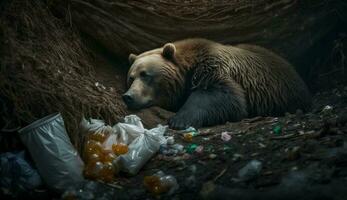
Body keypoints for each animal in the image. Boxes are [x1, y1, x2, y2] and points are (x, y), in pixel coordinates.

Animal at [124, 38, 312, 130]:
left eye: (145, 75)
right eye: (131, 78)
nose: (128, 96)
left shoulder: (213, 67)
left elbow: (220, 95)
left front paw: (179, 120)